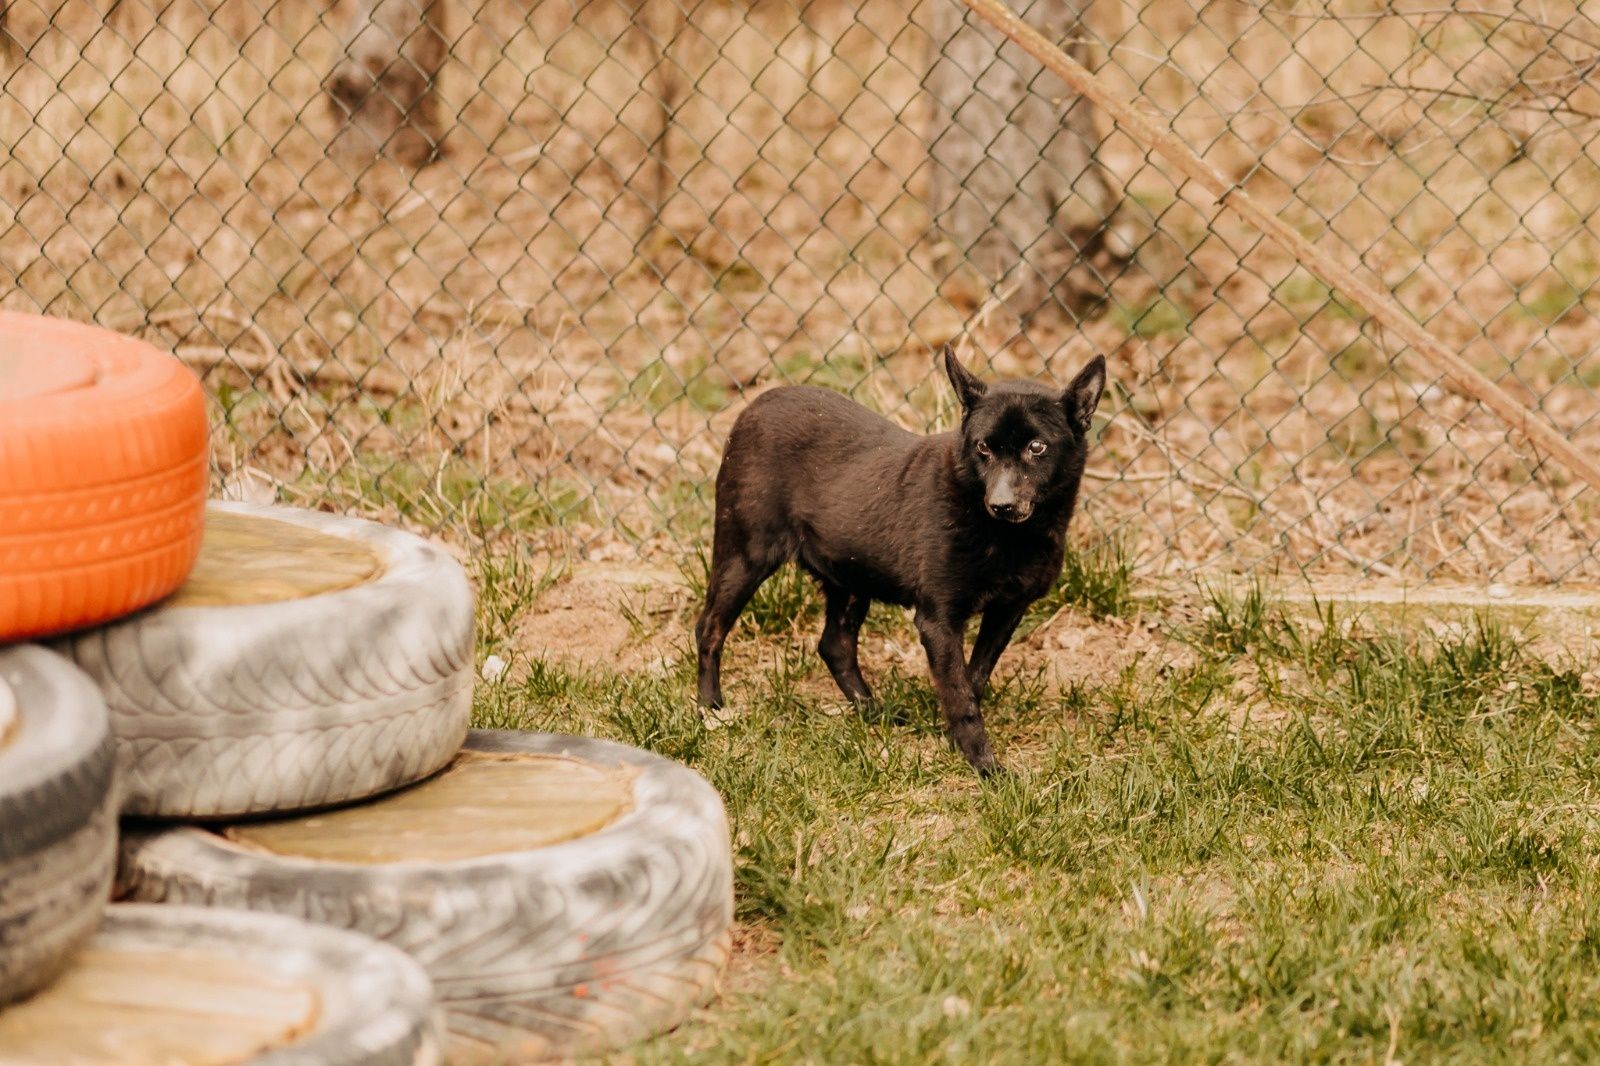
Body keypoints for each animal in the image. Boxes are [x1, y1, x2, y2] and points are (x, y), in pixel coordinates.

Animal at [694, 347, 1107, 771]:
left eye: (1037, 447)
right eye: (983, 448)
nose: (1001, 504)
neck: (1009, 537)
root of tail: (755, 406)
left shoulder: (1008, 610)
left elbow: (972, 679)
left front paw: (955, 742)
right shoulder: (938, 620)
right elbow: (959, 693)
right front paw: (982, 763)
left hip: (850, 579)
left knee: (834, 645)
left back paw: (873, 712)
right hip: (743, 556)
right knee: (708, 628)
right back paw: (711, 708)